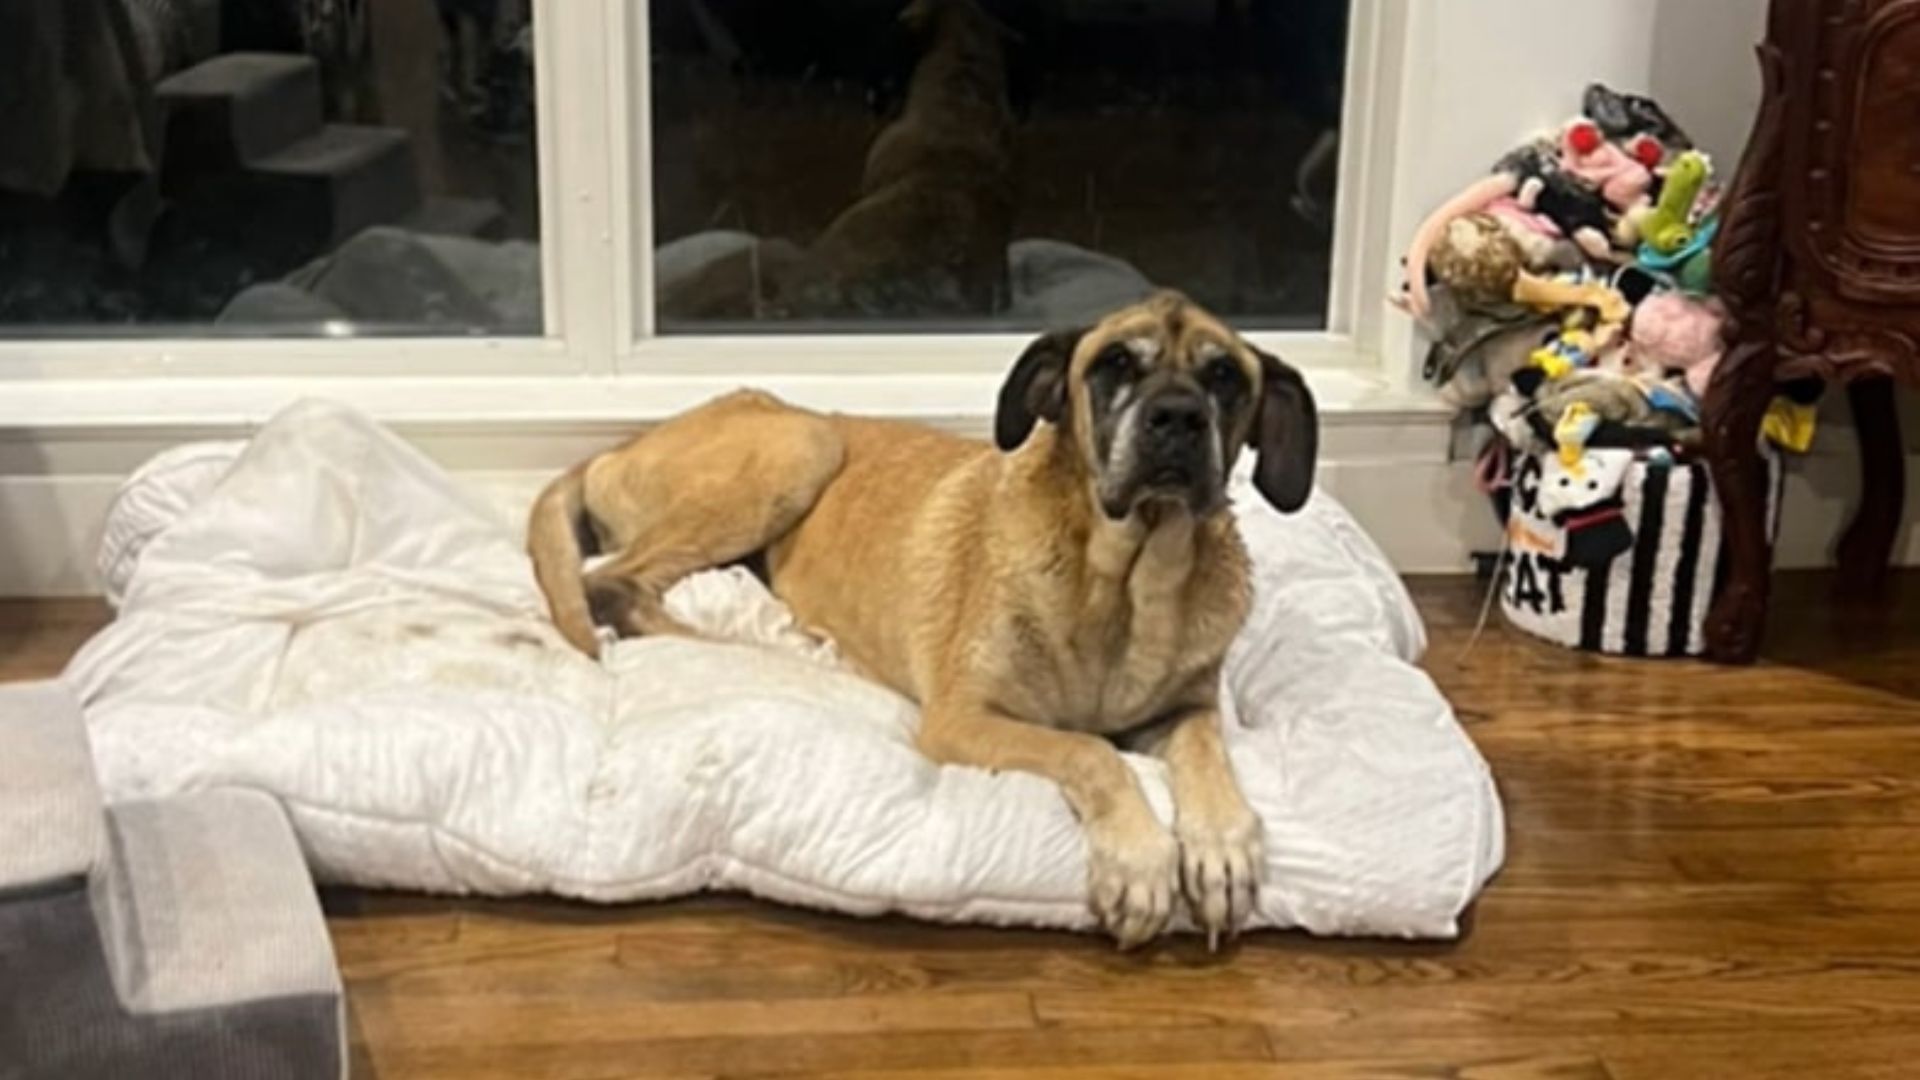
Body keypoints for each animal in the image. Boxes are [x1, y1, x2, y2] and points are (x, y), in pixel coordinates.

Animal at [529, 288, 1320, 941]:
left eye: (1226, 377)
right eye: (1116, 363)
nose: (1178, 417)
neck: (1126, 583)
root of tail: (618, 449)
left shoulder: (1183, 709)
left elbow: (1209, 756)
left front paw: (1222, 846)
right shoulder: (964, 719)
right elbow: (1090, 752)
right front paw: (1140, 858)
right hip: (804, 445)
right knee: (611, 584)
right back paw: (769, 648)